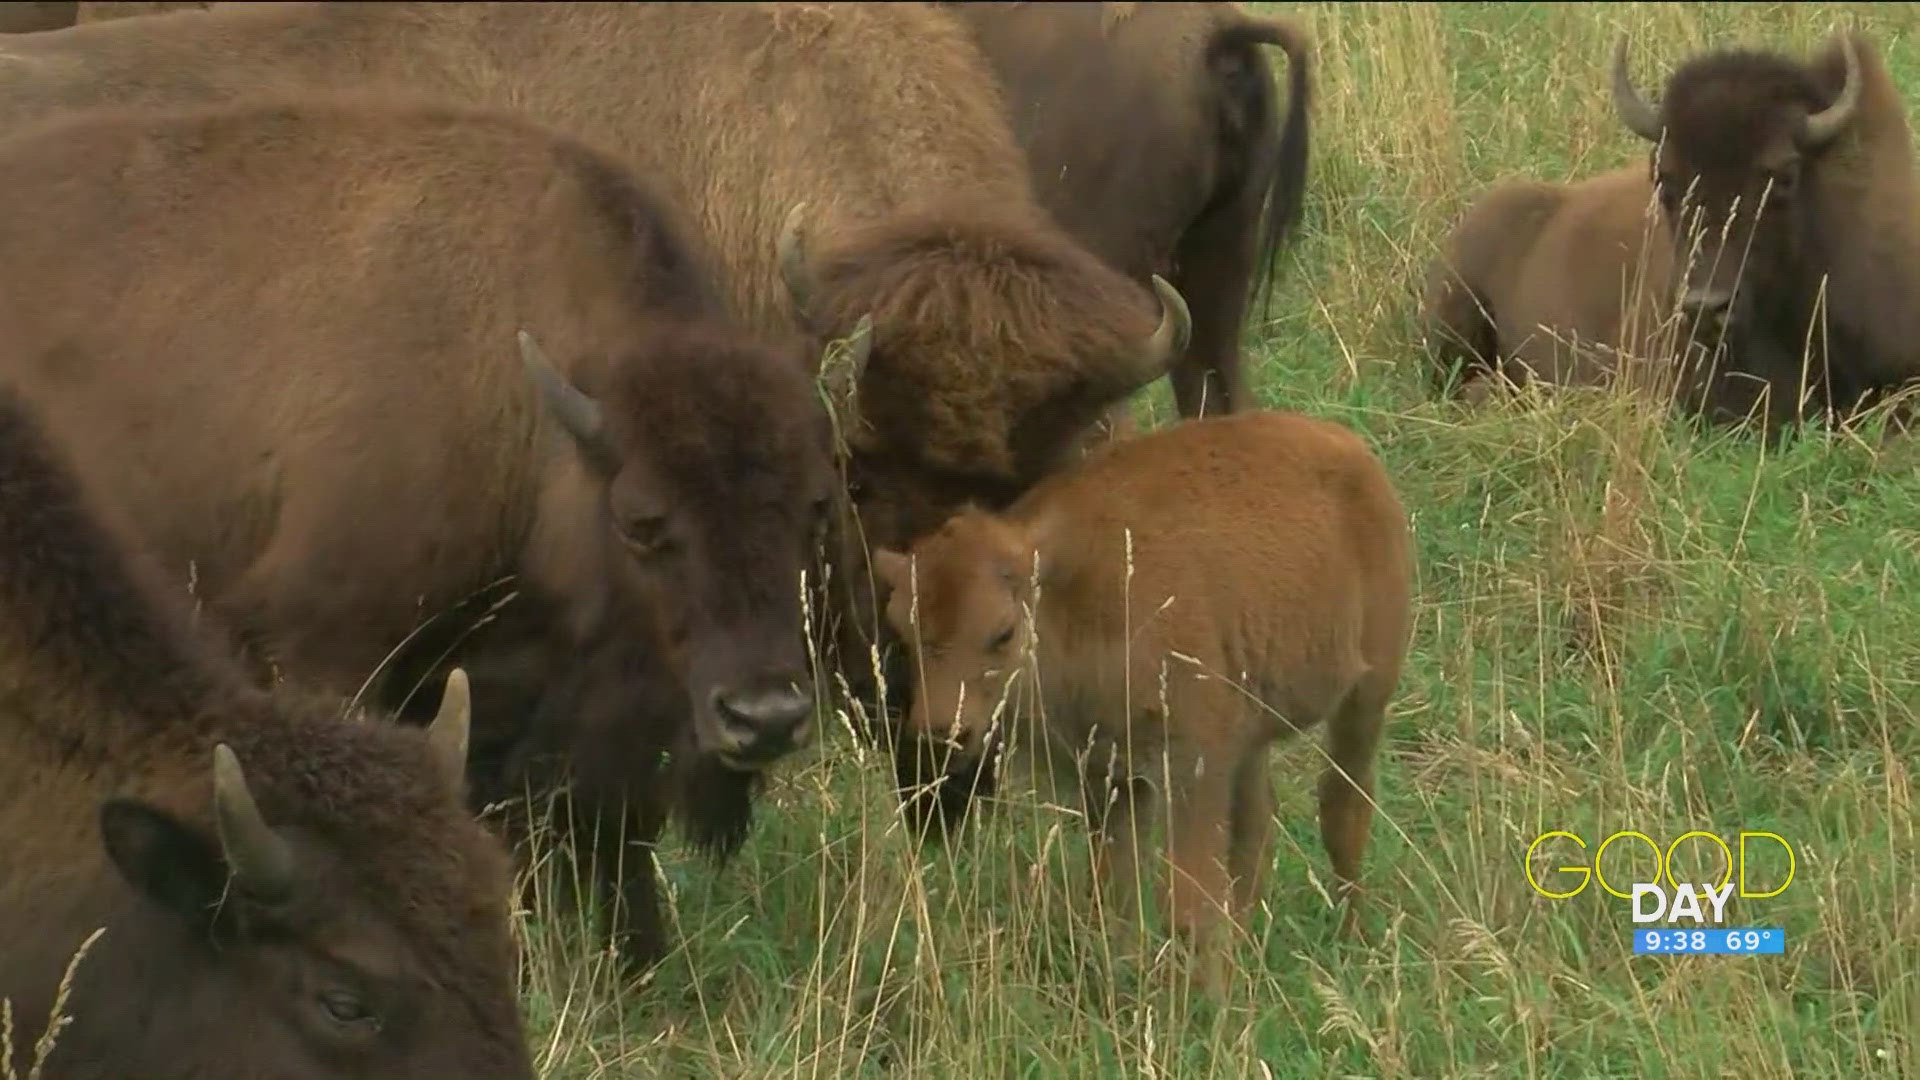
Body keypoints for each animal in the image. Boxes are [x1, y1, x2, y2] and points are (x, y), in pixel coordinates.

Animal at [871, 407, 1413, 991]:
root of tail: (1351, 452)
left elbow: (1189, 902)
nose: (942, 730)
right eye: (902, 628)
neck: (1068, 592)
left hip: (1367, 694)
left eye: (1002, 632)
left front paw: (1203, 998)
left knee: (1343, 805)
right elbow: (1116, 892)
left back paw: (1351, 940)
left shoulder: (1193, 762)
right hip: (1253, 733)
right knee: (1257, 826)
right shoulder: (1113, 777)